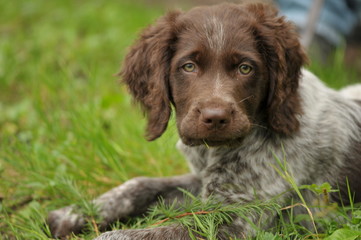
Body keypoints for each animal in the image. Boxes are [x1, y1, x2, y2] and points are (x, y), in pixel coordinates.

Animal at [47, 2, 360, 240]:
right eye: (188, 66)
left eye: (245, 68)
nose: (216, 118)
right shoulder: (202, 182)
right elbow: (141, 185)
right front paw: (75, 212)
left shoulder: (235, 218)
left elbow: (129, 234)